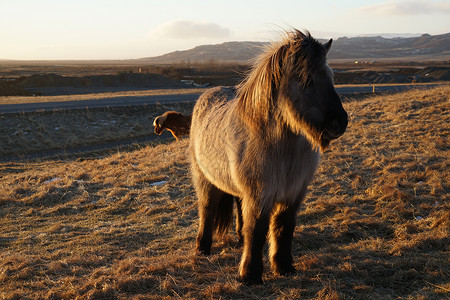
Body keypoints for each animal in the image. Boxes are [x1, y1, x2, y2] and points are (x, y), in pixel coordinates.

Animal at [189, 29, 348, 284]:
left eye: (331, 77)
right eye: (306, 80)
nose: (340, 123)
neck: (281, 148)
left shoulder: (293, 193)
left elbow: (283, 227)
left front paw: (284, 266)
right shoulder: (260, 195)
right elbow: (257, 229)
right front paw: (251, 274)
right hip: (205, 180)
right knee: (207, 209)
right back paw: (202, 248)